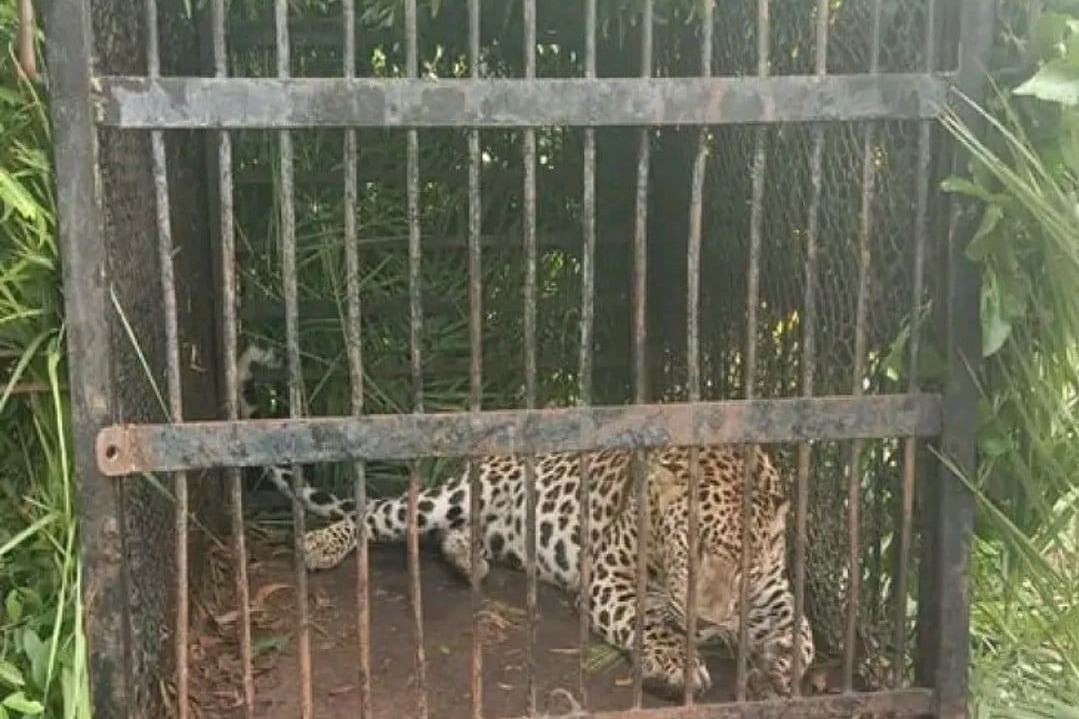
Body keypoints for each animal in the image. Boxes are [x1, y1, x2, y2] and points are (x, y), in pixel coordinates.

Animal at [240, 345, 811, 695]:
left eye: (745, 565)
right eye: (685, 550)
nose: (707, 623)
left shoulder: (773, 590)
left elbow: (800, 632)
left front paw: (780, 667)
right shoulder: (609, 577)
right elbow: (649, 619)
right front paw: (675, 661)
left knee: (452, 537)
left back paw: (469, 563)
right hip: (459, 494)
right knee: (380, 513)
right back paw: (322, 544)